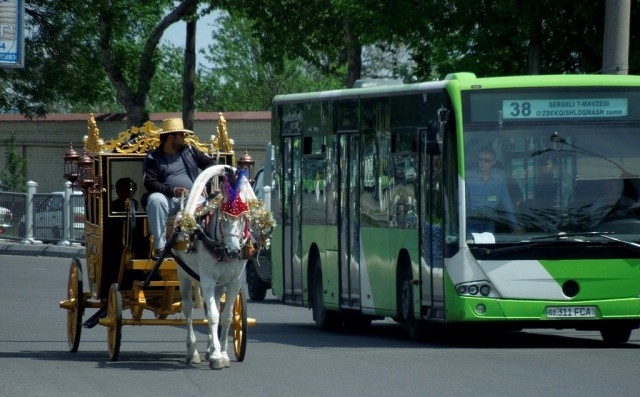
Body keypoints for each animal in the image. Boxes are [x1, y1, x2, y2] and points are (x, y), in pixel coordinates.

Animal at [172, 164, 258, 368]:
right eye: (223, 218)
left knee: (213, 307)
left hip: (220, 284)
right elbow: (213, 316)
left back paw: (211, 348)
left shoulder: (234, 281)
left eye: (243, 218)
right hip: (184, 275)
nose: (233, 251)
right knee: (188, 309)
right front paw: (217, 356)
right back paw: (193, 352)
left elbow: (225, 317)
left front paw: (222, 353)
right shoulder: (208, 280)